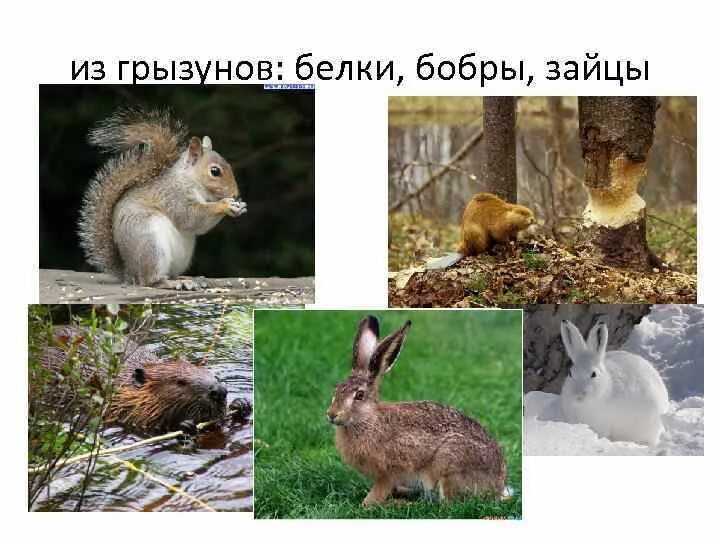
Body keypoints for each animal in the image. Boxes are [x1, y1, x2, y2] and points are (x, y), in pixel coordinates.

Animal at [326, 315, 507, 506]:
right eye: (337, 389)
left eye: (359, 395)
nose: (332, 414)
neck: (367, 419)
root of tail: (498, 485)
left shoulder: (389, 472)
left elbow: (373, 498)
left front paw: (371, 503)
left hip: (449, 465)